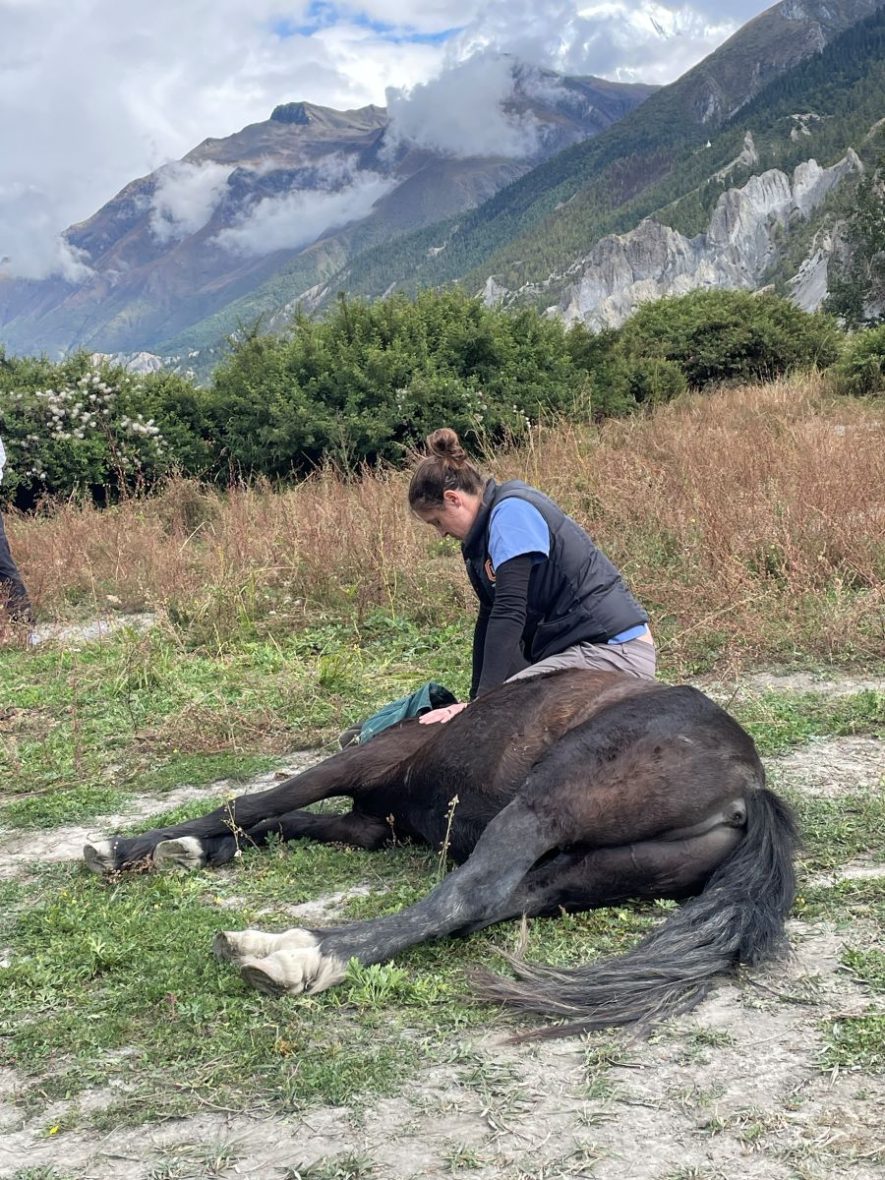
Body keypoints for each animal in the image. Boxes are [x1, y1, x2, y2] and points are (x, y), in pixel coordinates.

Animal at [83, 668, 797, 1038]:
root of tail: (749, 788)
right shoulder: (371, 828)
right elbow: (287, 820)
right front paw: (187, 851)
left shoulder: (358, 766)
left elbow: (259, 802)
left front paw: (129, 848)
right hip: (594, 870)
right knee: (493, 905)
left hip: (543, 804)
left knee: (467, 894)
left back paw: (299, 955)